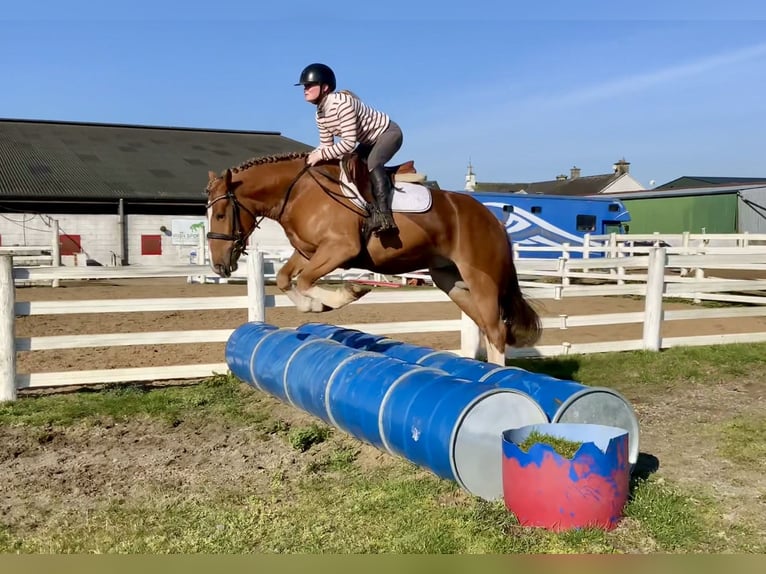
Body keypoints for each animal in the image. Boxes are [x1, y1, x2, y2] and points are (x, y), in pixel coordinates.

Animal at [204, 151, 541, 365]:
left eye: (220, 214)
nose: (220, 266)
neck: (299, 192)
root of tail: (492, 219)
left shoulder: (340, 249)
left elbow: (306, 280)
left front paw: (345, 294)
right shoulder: (308, 252)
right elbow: (288, 279)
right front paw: (315, 305)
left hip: (481, 278)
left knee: (496, 329)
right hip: (452, 281)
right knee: (487, 327)